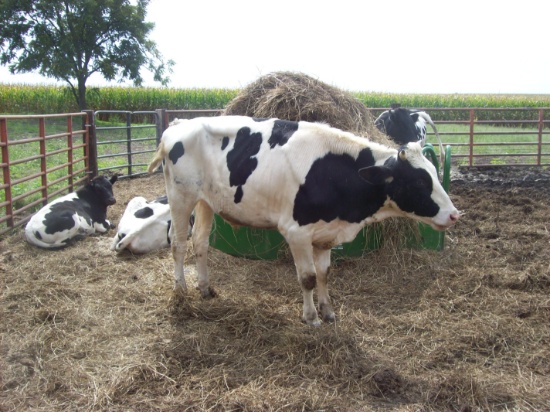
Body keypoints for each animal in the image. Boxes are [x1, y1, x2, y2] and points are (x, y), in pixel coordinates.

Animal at [148, 115, 462, 326]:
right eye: (419, 182)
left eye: (434, 174)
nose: (454, 214)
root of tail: (179, 124)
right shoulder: (295, 232)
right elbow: (308, 278)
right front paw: (311, 317)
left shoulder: (326, 233)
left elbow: (324, 274)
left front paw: (328, 310)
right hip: (181, 196)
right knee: (178, 245)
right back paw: (180, 291)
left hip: (206, 202)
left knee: (200, 243)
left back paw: (205, 288)